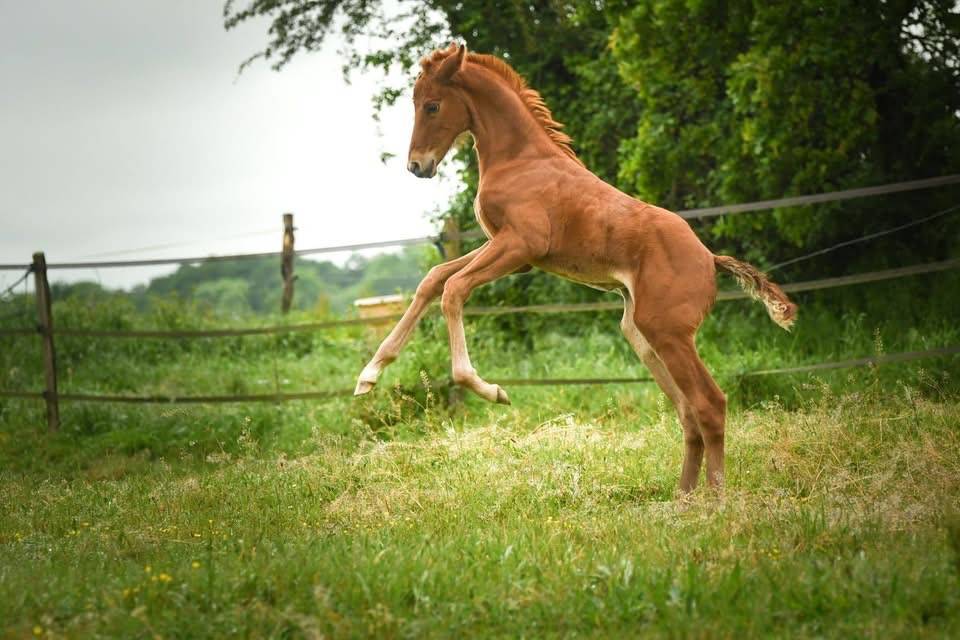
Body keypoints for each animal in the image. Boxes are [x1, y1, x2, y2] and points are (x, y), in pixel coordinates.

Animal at [354, 43, 797, 492]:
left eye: (431, 105)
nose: (417, 166)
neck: (520, 159)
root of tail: (709, 259)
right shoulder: (511, 253)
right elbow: (433, 280)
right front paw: (368, 375)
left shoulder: (520, 245)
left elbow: (454, 289)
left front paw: (492, 390)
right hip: (641, 334)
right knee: (688, 412)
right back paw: (682, 498)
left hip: (669, 334)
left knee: (710, 404)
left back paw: (715, 499)